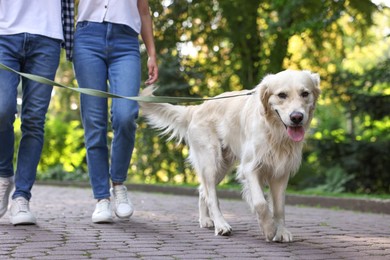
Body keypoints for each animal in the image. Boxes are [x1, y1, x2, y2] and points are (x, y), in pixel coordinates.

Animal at [139, 70, 320, 243]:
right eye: (282, 95)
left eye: (305, 93)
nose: (297, 117)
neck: (274, 131)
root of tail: (197, 108)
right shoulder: (250, 167)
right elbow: (260, 203)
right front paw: (269, 229)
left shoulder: (281, 172)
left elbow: (279, 207)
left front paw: (281, 232)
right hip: (211, 160)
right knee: (211, 196)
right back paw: (221, 225)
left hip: (222, 166)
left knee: (203, 190)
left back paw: (205, 220)